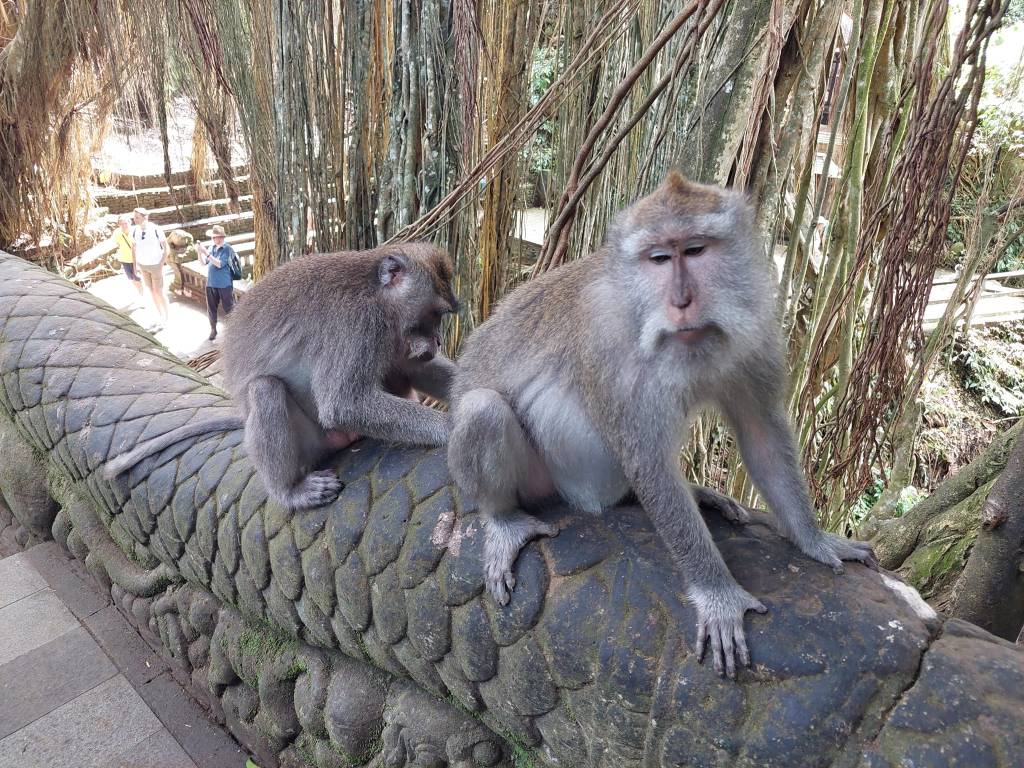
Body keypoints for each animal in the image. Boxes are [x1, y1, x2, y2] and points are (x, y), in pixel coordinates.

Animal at [104, 243, 458, 510]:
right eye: (434, 315)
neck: (378, 295)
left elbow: (413, 367)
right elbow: (342, 404)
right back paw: (289, 492)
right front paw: (450, 427)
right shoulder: (359, 325)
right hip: (310, 440)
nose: (439, 340)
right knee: (265, 389)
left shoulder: (391, 336)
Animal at [447, 172, 876, 679]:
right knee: (481, 408)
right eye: (658, 258)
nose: (681, 300)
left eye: (694, 250)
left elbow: (762, 436)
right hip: (540, 481)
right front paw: (717, 594)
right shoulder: (611, 346)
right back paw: (504, 521)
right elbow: (649, 465)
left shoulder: (756, 329)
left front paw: (814, 540)